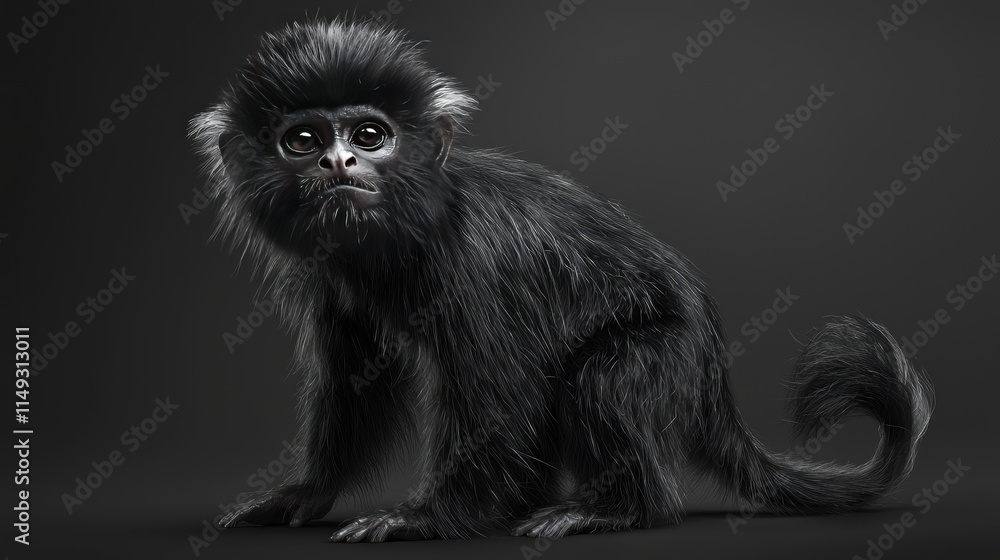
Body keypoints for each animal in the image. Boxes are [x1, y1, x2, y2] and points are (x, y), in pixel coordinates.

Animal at [189, 18, 933, 542]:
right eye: (304, 140)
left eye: (370, 134)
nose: (338, 162)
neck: (406, 232)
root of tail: (711, 363)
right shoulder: (331, 280)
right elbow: (356, 386)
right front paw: (306, 494)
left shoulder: (471, 260)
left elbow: (497, 396)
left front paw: (424, 519)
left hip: (670, 346)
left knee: (603, 378)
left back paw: (618, 511)